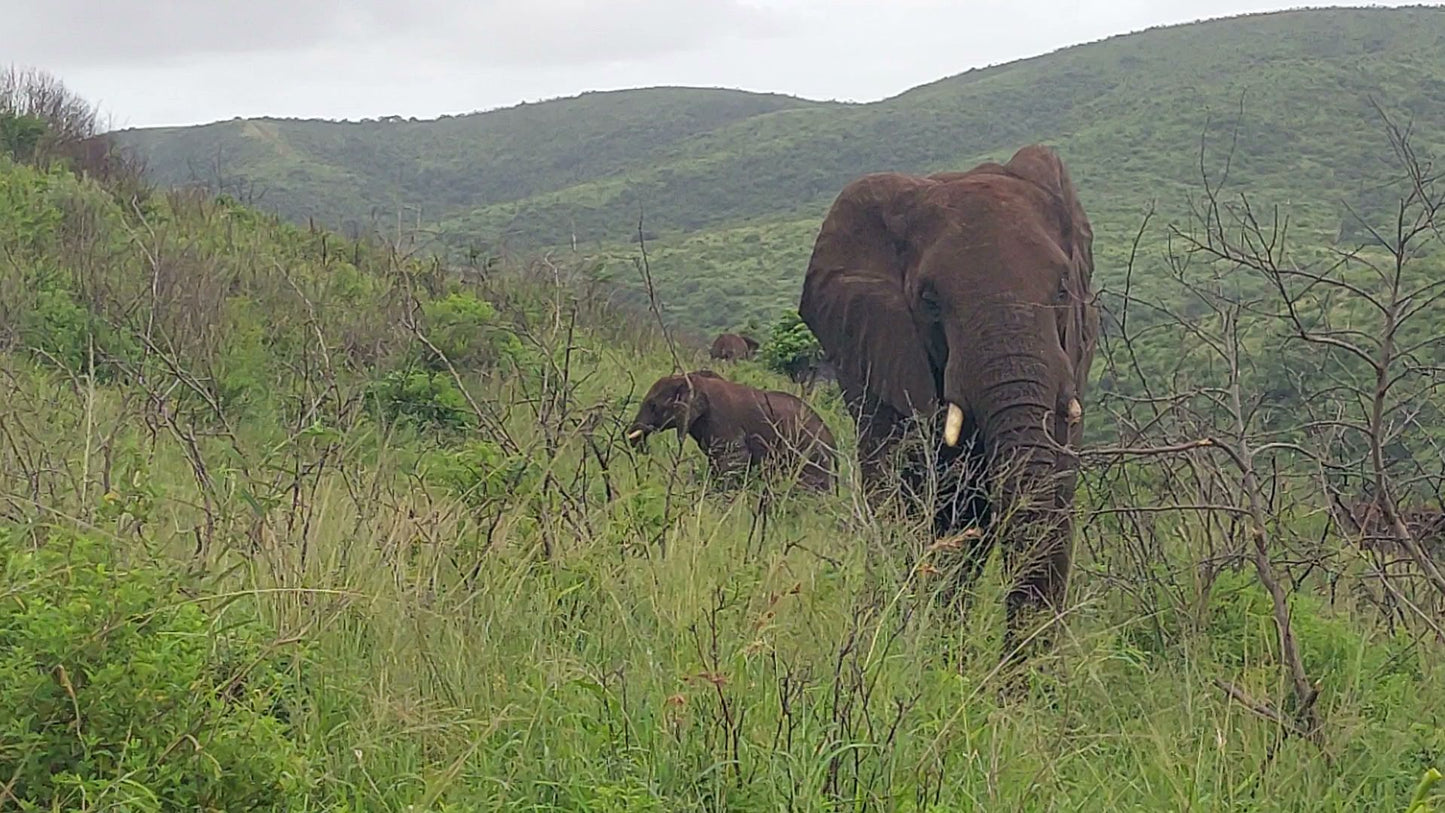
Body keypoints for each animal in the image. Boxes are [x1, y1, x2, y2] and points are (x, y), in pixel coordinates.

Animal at [621, 372, 838, 493]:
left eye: (653, 405)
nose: (644, 448)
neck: (694, 380)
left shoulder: (722, 421)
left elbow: (733, 460)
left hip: (812, 457)